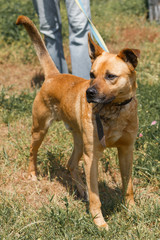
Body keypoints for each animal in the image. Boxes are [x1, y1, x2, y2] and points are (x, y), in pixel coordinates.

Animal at [15, 15, 139, 231]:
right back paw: (32, 174)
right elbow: (96, 196)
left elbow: (128, 185)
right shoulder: (92, 157)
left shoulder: (126, 150)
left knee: (71, 164)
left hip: (80, 141)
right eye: (91, 75)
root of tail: (54, 75)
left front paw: (131, 211)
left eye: (111, 76)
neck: (114, 110)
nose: (89, 93)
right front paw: (99, 222)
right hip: (40, 128)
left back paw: (81, 190)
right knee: (32, 151)